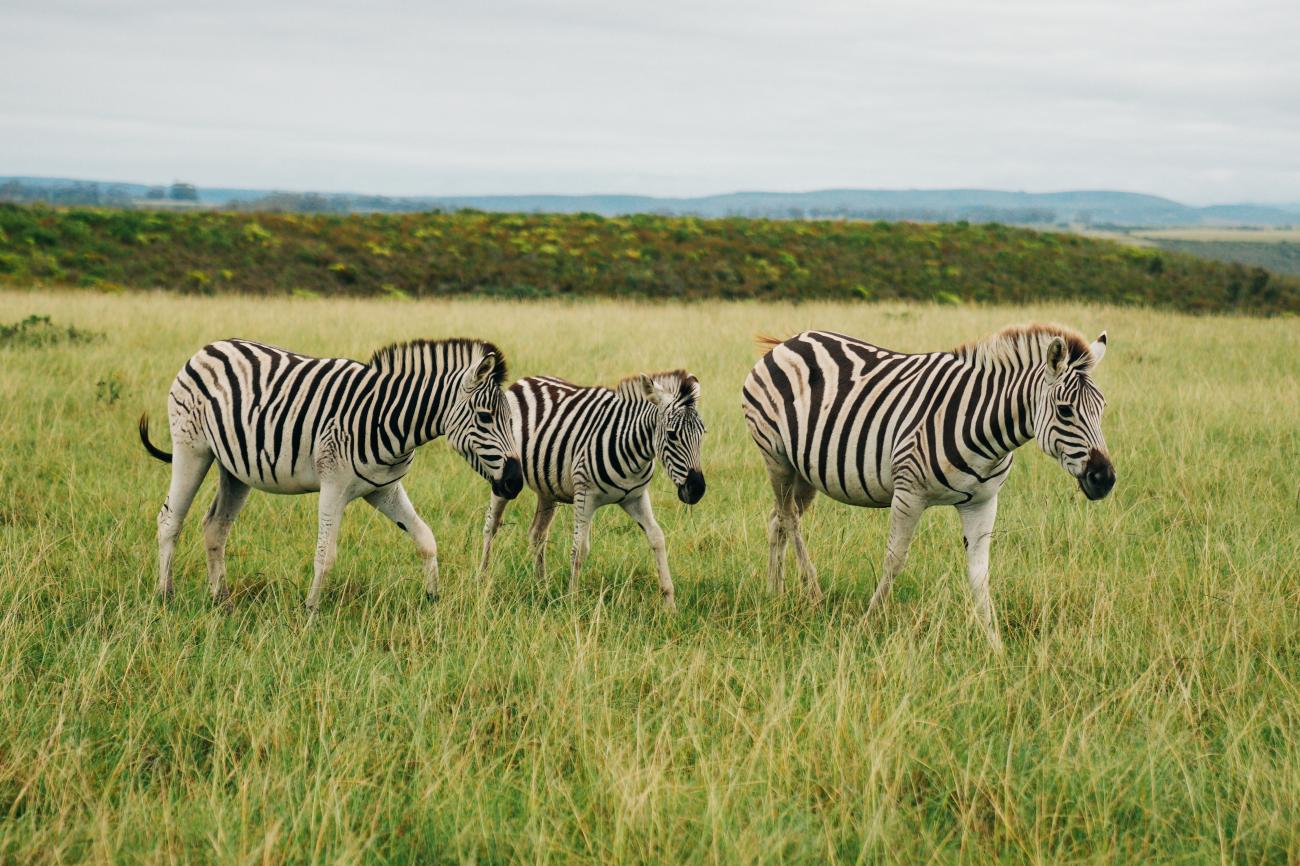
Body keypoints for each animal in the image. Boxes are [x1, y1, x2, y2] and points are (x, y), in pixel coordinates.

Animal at [138, 337, 524, 610]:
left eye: (510, 417)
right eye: (486, 417)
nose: (516, 482)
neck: (387, 419)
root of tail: (208, 347)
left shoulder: (384, 489)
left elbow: (426, 538)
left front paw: (433, 599)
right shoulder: (333, 485)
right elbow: (326, 554)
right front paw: (310, 611)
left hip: (234, 468)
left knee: (215, 525)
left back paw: (222, 599)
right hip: (192, 448)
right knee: (169, 519)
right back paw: (165, 596)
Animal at [476, 370, 707, 609]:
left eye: (703, 434)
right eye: (672, 435)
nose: (697, 489)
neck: (633, 449)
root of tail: (525, 380)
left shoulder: (635, 497)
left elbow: (657, 537)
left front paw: (669, 603)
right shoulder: (585, 496)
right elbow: (580, 548)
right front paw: (571, 602)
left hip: (547, 489)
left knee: (537, 534)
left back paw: (541, 587)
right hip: (502, 478)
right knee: (491, 526)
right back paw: (483, 580)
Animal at [742, 324, 1115, 650]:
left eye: (1102, 409)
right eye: (1065, 411)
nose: (1105, 479)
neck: (982, 426)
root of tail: (791, 341)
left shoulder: (982, 502)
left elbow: (980, 574)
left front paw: (994, 645)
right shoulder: (909, 493)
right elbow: (894, 561)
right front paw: (868, 623)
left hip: (805, 471)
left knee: (778, 520)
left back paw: (775, 595)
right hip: (776, 457)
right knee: (789, 518)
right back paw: (813, 592)